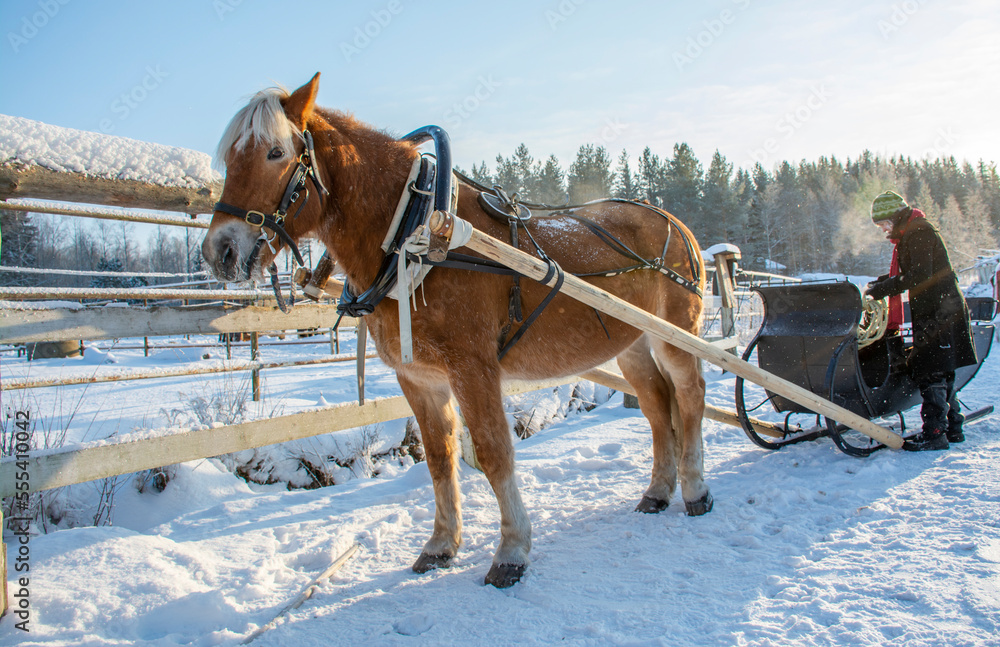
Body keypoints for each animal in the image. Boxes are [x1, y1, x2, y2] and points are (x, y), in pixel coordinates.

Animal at [201, 73, 712, 588]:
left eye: (275, 153)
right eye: (228, 158)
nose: (219, 252)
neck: (417, 233)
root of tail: (675, 222)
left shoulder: (473, 367)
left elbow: (493, 451)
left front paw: (511, 550)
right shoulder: (418, 378)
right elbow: (439, 457)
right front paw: (442, 544)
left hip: (675, 332)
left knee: (690, 395)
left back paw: (695, 489)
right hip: (631, 342)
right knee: (655, 402)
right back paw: (658, 491)